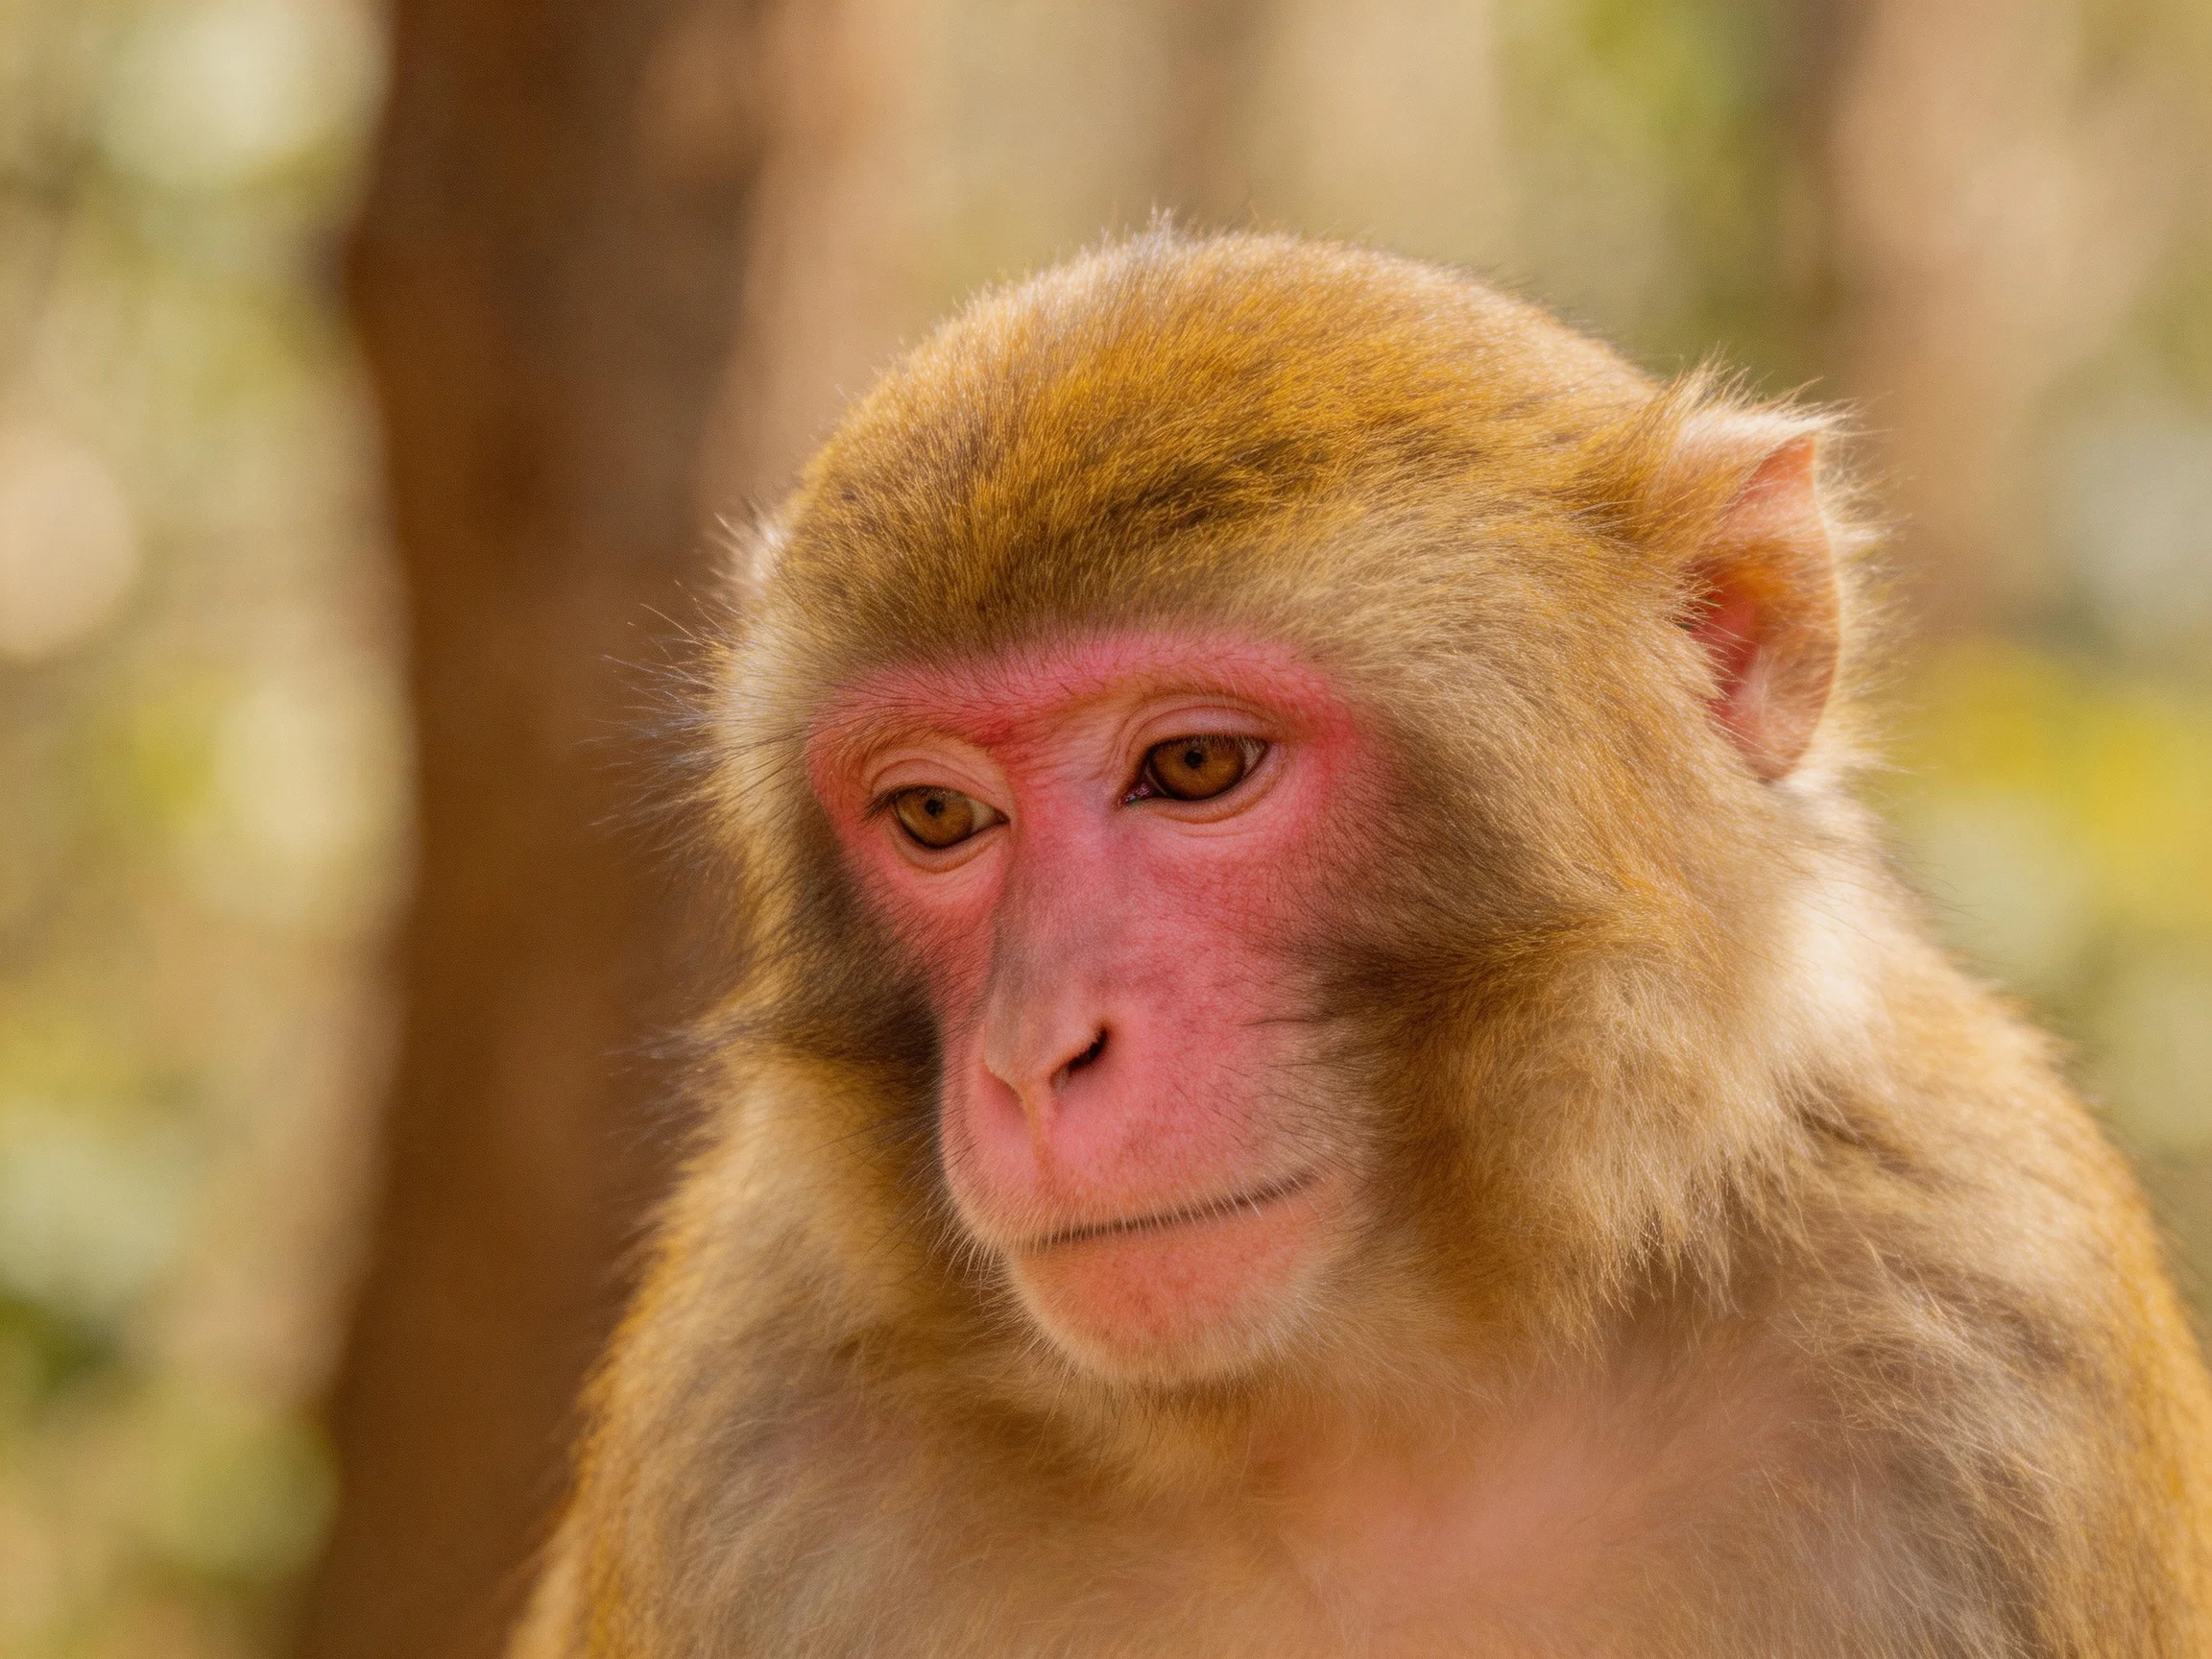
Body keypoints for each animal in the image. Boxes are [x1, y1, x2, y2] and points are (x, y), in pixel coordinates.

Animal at [510, 230, 2212, 1658]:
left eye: (1197, 766)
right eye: (937, 815)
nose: (1034, 1055)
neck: (1374, 1432)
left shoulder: (1994, 1331)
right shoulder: (742, 1424)